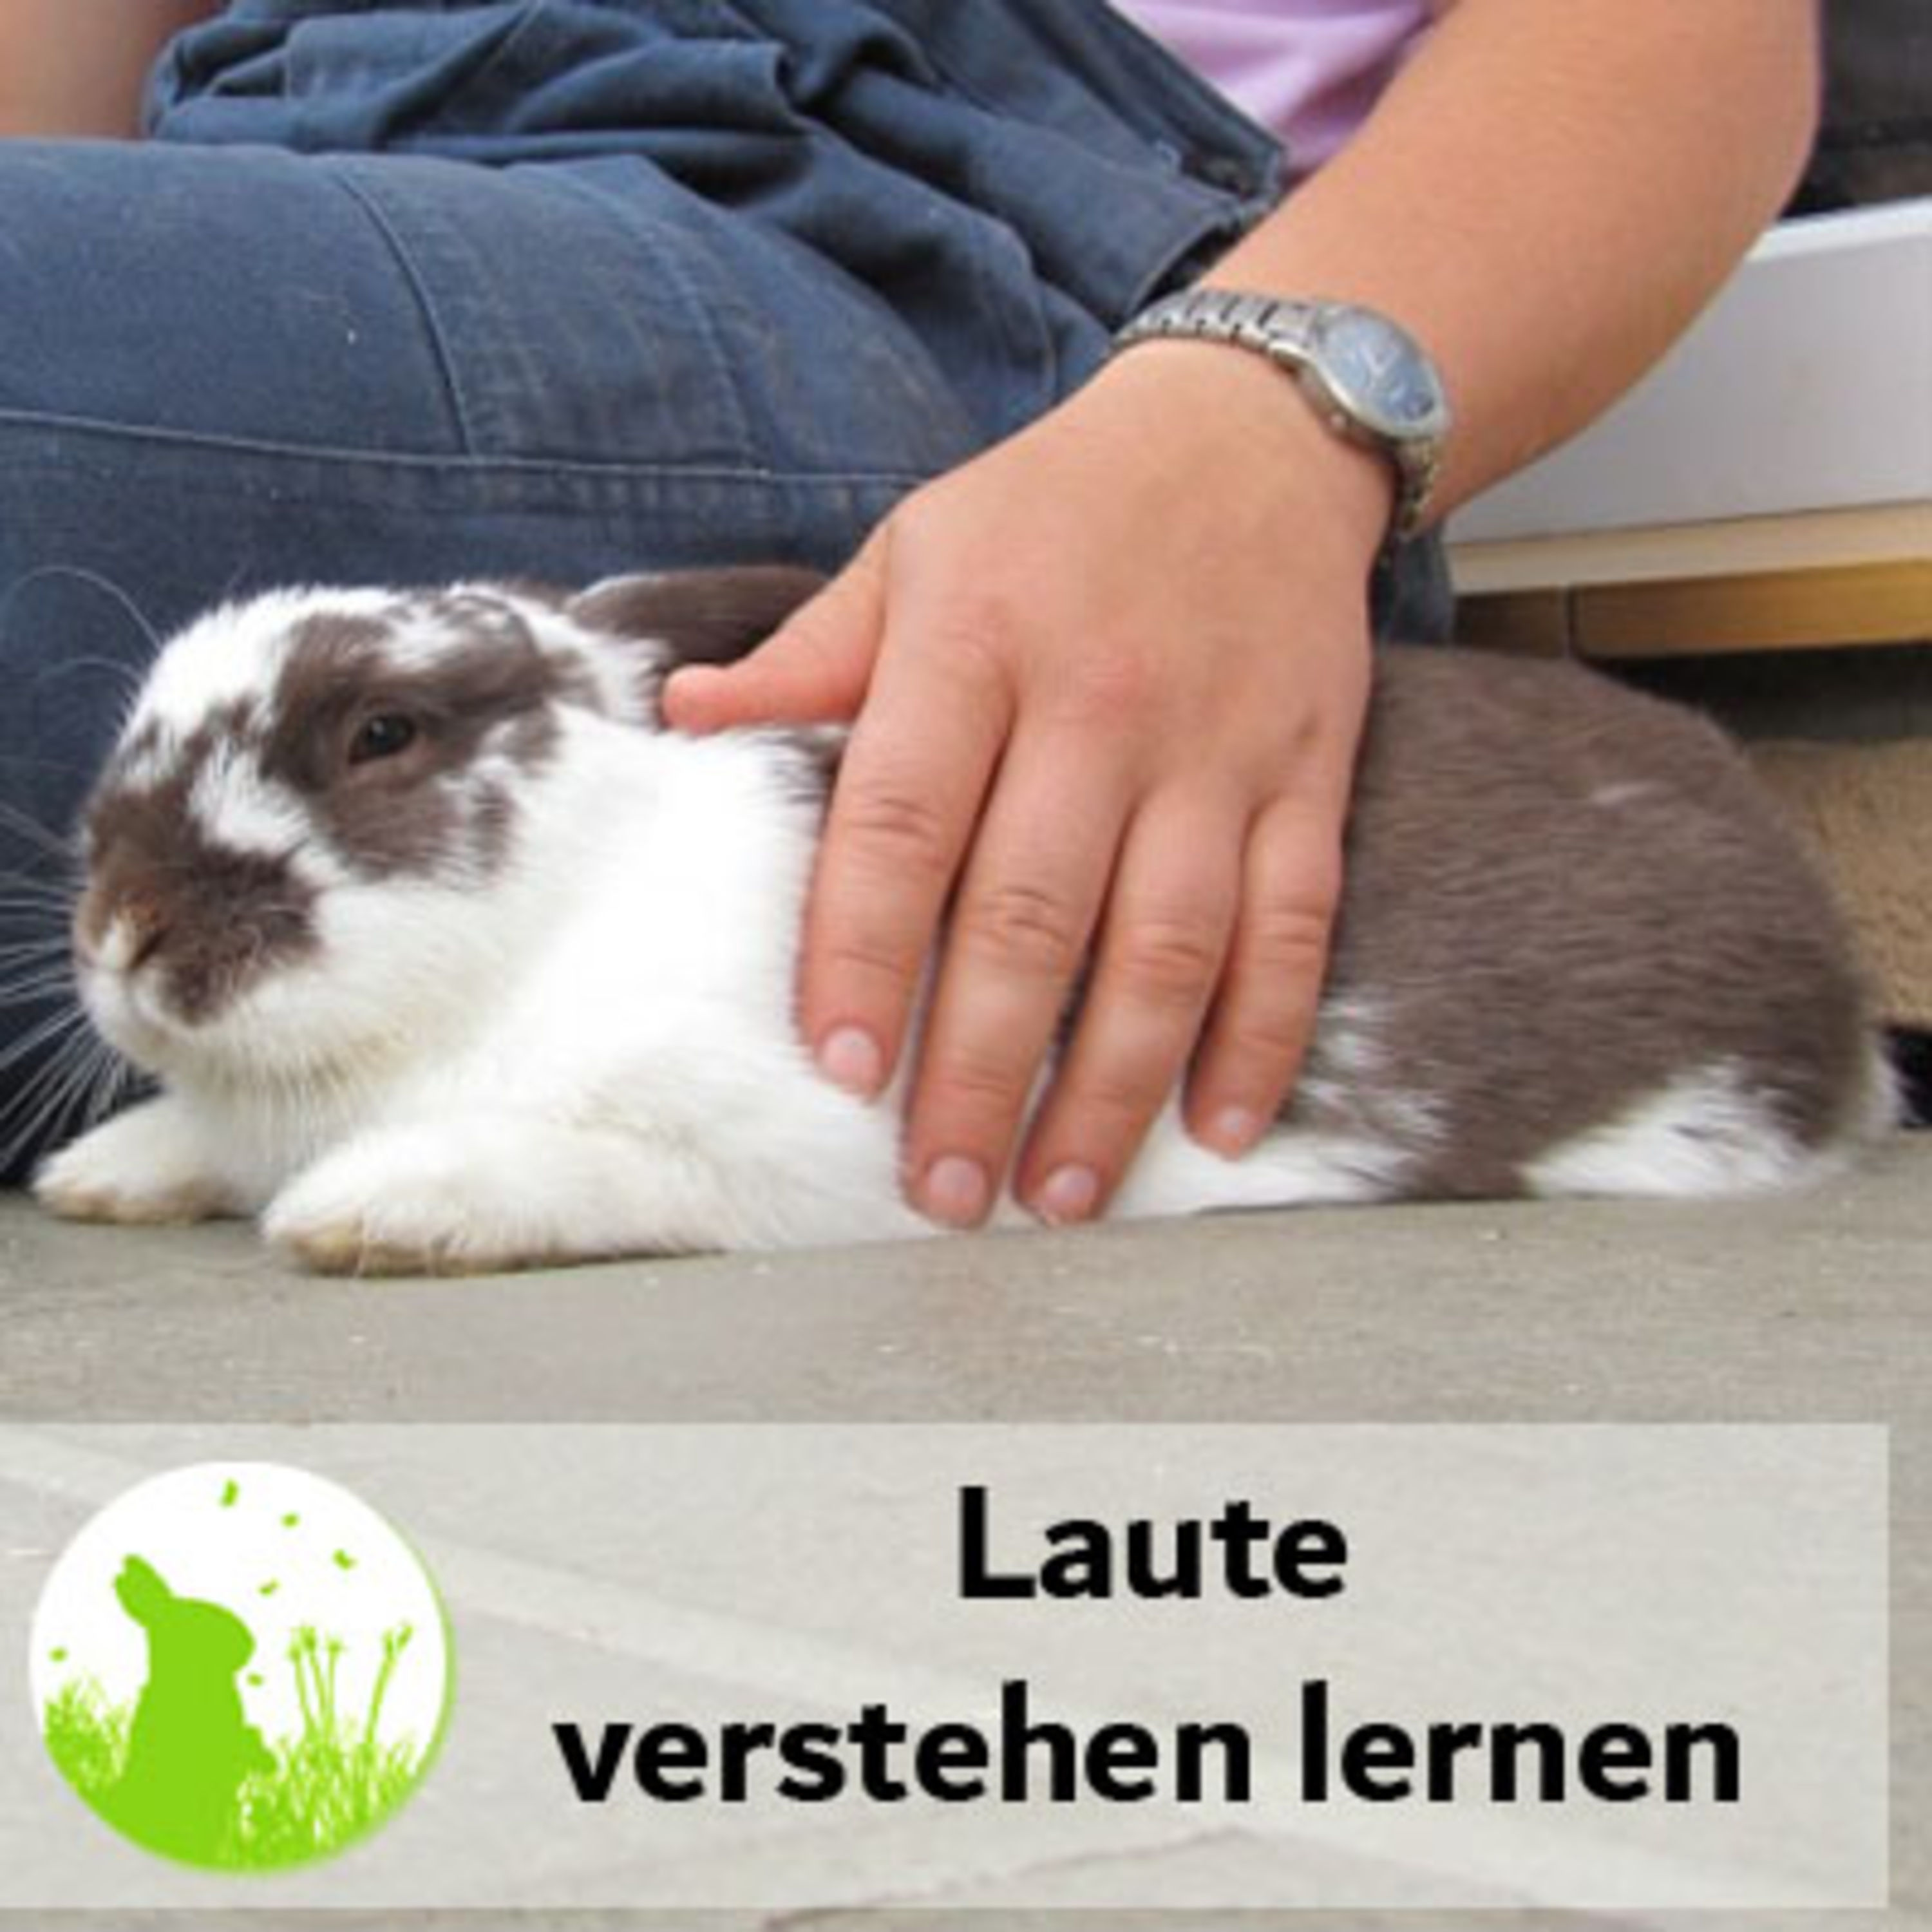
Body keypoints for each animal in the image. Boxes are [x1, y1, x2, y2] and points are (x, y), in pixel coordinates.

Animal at [31, 566, 1893, 1274]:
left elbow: (582, 1168)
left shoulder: (813, 1150)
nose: (119, 932)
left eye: (382, 735)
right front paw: (107, 1174)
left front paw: (371, 1211)